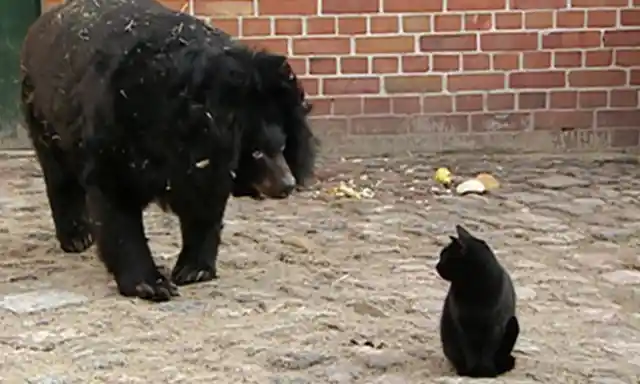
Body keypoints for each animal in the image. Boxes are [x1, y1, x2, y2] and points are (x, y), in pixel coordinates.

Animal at [19, 0, 318, 302]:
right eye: (255, 151)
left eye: (282, 145)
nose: (288, 184)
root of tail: (42, 23)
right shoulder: (114, 136)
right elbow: (116, 207)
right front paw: (151, 284)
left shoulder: (202, 166)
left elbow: (205, 205)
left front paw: (193, 271)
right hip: (45, 118)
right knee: (60, 177)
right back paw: (77, 237)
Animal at [436, 225, 520, 378]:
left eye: (444, 256)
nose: (436, 266)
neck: (473, 288)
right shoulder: (462, 325)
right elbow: (470, 351)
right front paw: (472, 372)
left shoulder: (495, 326)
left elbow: (488, 351)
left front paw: (486, 372)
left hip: (513, 324)